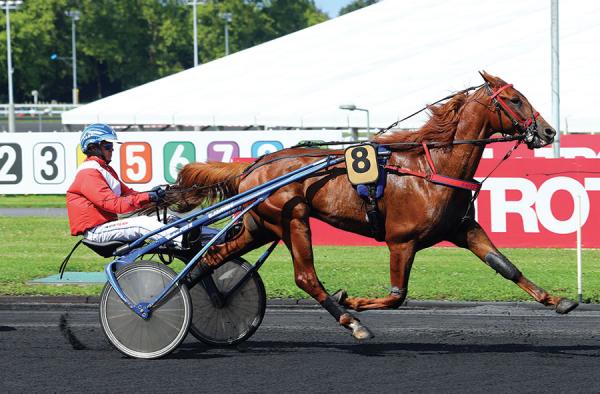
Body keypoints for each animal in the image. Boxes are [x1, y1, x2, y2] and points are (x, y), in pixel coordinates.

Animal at [164, 73, 576, 338]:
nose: (548, 131)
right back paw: (351, 322)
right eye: (515, 99)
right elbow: (396, 297)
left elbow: (506, 266)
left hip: (260, 225)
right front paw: (352, 301)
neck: (434, 168)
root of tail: (252, 165)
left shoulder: (463, 228)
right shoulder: (401, 241)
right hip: (292, 218)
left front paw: (558, 300)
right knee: (306, 277)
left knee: (212, 259)